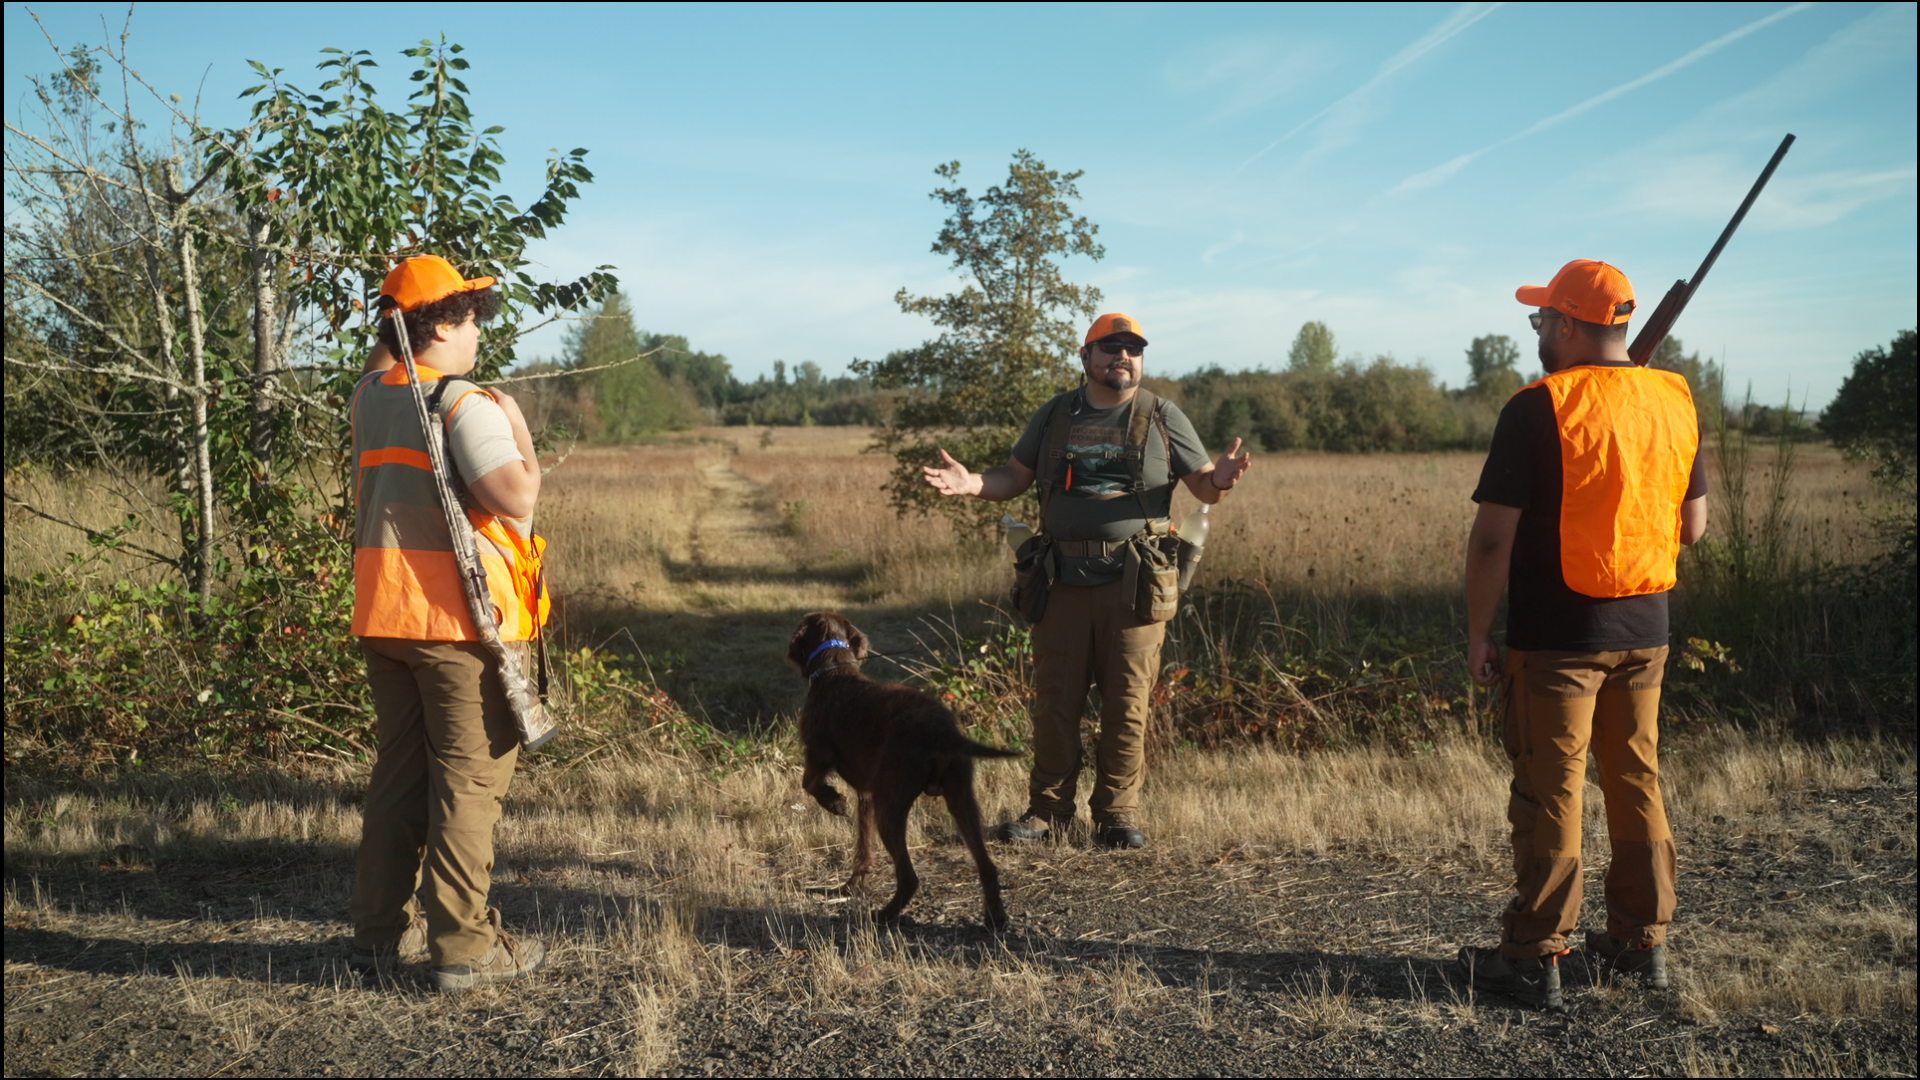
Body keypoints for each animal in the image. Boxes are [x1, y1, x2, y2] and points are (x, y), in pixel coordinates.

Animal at [783, 611, 1021, 930]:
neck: (834, 668)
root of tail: (941, 730)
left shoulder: (819, 754)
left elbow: (808, 783)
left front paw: (834, 802)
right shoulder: (867, 794)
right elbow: (863, 844)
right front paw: (854, 884)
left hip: (892, 806)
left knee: (909, 877)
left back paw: (884, 915)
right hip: (961, 800)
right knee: (987, 866)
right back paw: (995, 917)